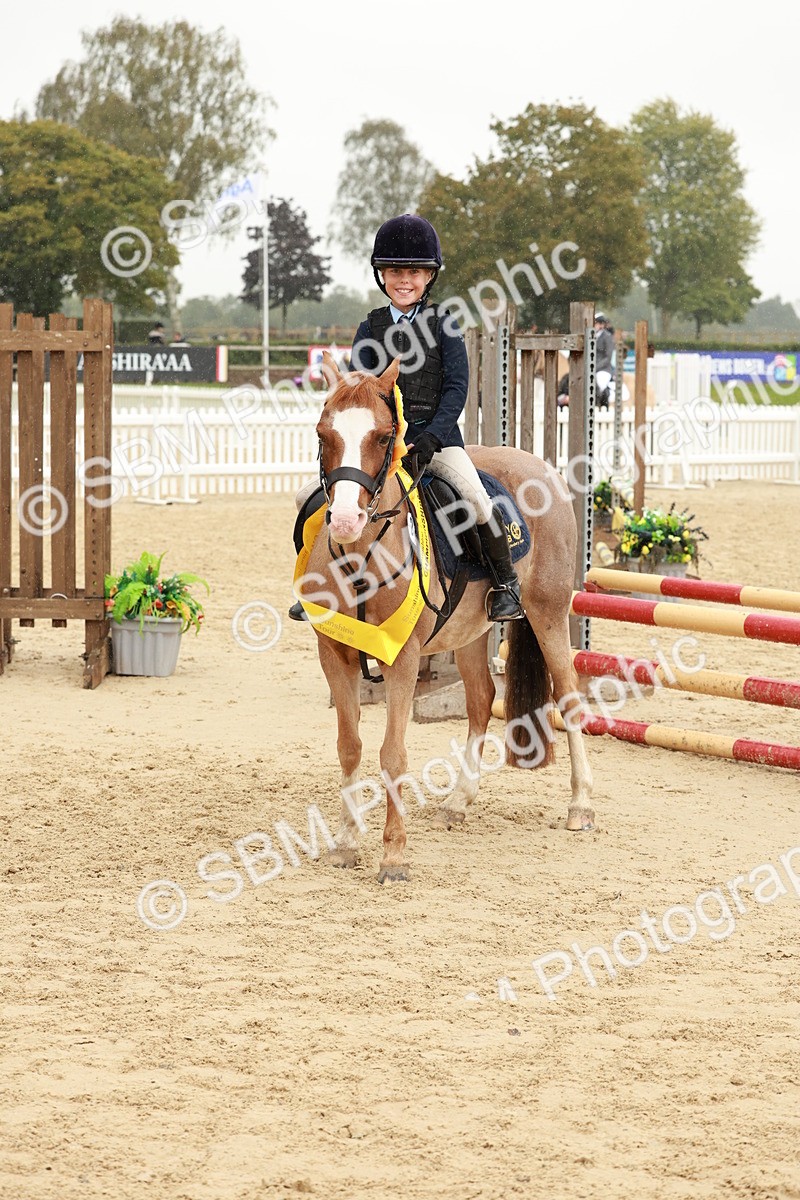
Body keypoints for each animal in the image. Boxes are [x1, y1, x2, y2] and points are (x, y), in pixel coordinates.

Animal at [294, 354, 594, 882]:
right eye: (322, 434)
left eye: (383, 437)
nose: (347, 521)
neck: (360, 557)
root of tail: (541, 465)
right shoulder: (334, 653)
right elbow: (349, 745)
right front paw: (347, 842)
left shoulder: (403, 658)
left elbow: (392, 753)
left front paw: (394, 856)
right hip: (470, 633)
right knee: (481, 701)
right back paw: (458, 801)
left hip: (549, 613)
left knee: (570, 696)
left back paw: (579, 805)